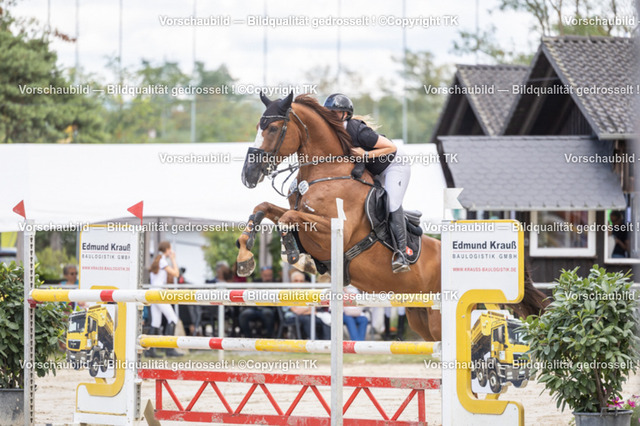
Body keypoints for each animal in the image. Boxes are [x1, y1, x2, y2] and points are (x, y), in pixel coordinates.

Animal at [236, 92, 547, 342]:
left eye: (273, 128)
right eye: (258, 126)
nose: (248, 175)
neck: (325, 172)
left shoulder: (331, 231)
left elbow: (288, 217)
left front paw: (295, 255)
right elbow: (264, 208)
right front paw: (245, 258)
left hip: (441, 315)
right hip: (421, 318)